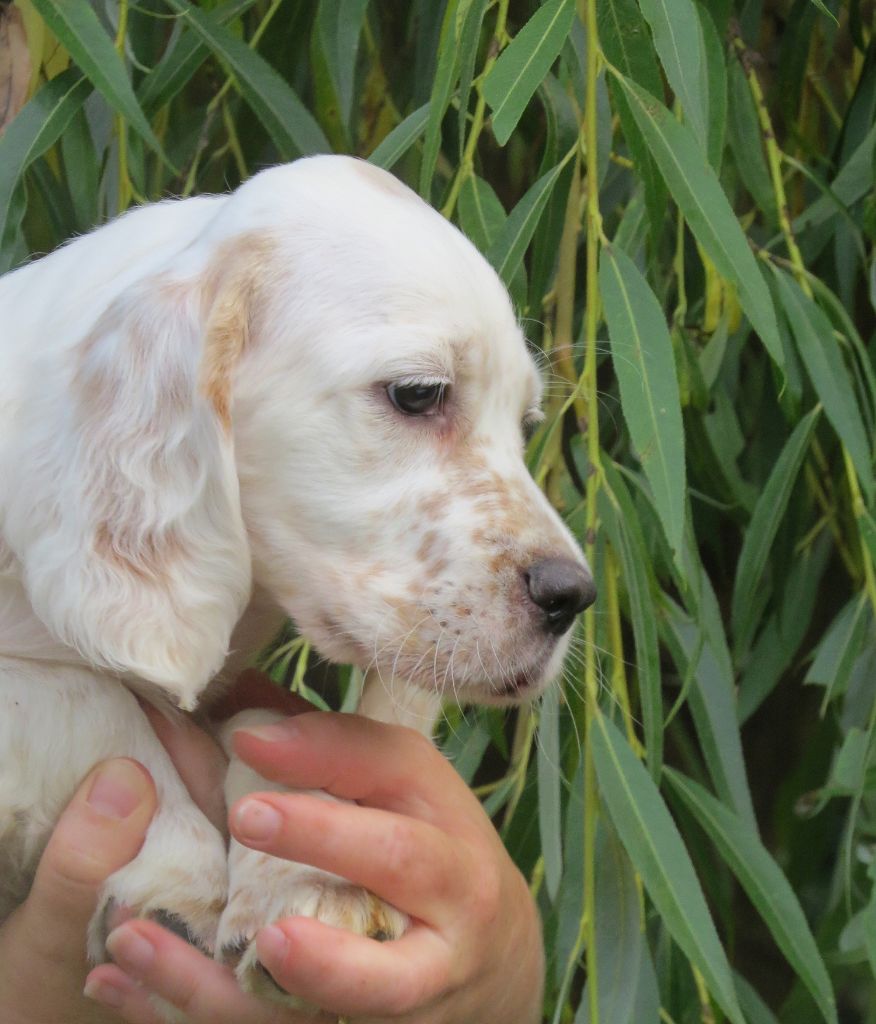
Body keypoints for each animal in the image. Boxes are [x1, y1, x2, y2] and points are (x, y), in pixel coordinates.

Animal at [0, 155, 595, 1009]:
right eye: (418, 393)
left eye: (525, 425)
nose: (572, 597)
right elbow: (88, 699)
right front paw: (179, 871)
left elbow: (257, 728)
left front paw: (305, 877)